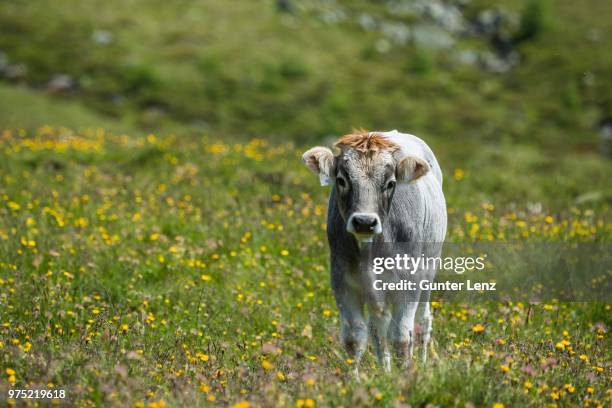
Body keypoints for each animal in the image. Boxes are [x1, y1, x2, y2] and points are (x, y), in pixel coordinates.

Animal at [304, 129, 448, 372]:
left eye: (390, 183)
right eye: (341, 180)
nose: (364, 222)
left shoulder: (408, 282)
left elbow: (401, 336)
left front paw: (405, 376)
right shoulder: (342, 282)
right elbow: (354, 338)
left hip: (429, 269)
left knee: (422, 322)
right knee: (377, 328)